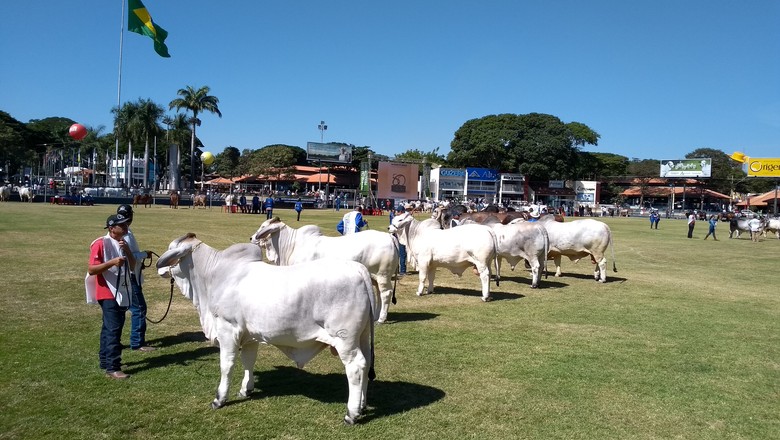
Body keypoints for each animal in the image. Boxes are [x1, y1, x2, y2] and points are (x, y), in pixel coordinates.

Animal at [157, 234, 376, 422]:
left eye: (171, 247)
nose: (159, 268)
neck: (211, 277)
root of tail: (358, 269)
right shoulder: (250, 336)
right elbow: (248, 360)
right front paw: (246, 389)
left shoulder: (228, 329)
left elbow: (226, 365)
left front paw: (219, 398)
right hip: (362, 336)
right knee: (366, 365)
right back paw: (362, 406)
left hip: (345, 340)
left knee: (356, 367)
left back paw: (352, 413)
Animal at [250, 217, 400, 324]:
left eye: (263, 227)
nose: (251, 238)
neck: (290, 246)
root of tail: (389, 237)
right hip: (375, 277)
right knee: (379, 293)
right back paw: (376, 316)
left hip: (383, 275)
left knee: (386, 293)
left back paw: (381, 319)